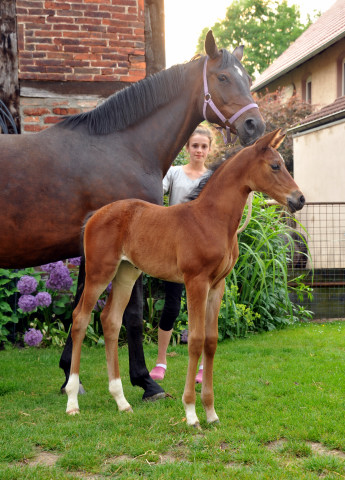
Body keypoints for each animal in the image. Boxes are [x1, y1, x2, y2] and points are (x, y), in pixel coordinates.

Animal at [0, 29, 264, 398]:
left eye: (248, 78)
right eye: (223, 77)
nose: (256, 125)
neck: (124, 147)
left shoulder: (92, 252)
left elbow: (81, 306)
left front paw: (69, 376)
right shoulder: (127, 254)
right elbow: (132, 314)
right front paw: (145, 381)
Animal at [64, 128, 304, 424]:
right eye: (275, 166)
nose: (300, 199)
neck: (210, 219)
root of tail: (95, 215)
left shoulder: (217, 285)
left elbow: (211, 342)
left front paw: (211, 412)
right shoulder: (196, 282)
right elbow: (196, 340)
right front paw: (191, 412)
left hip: (125, 273)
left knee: (110, 320)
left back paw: (121, 401)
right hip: (100, 272)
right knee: (80, 319)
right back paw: (72, 400)